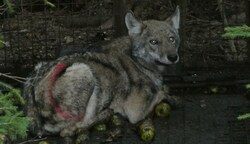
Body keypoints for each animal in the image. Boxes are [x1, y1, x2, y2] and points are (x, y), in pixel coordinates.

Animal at [23, 6, 180, 138]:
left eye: (171, 39)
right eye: (153, 42)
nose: (173, 57)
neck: (137, 60)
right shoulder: (136, 112)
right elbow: (160, 93)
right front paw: (172, 98)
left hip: (39, 67)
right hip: (85, 71)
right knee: (70, 129)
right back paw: (107, 113)